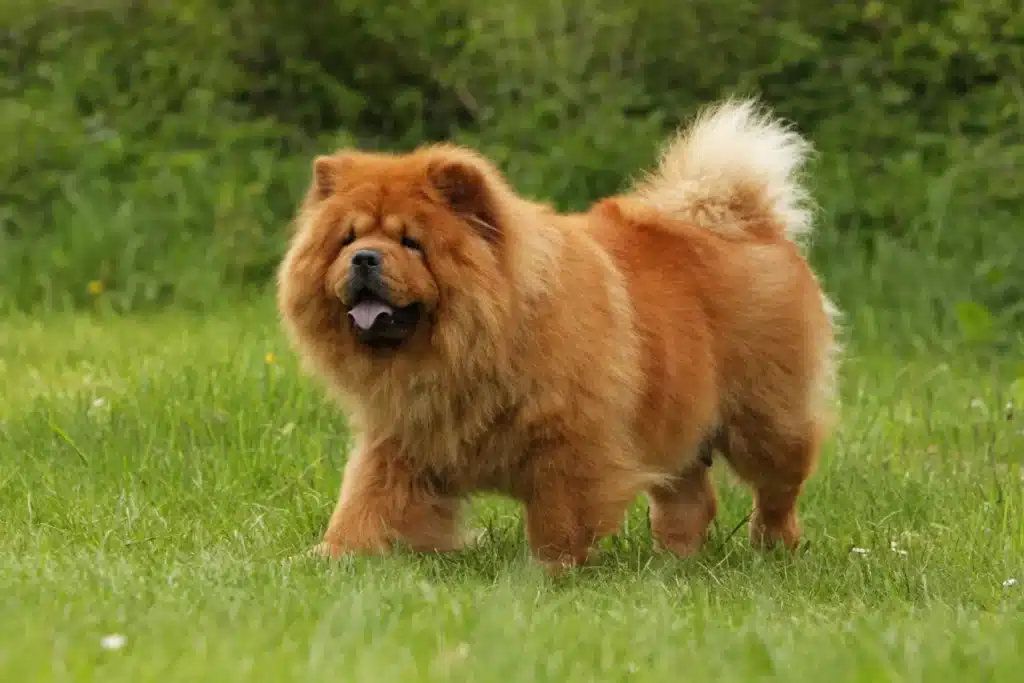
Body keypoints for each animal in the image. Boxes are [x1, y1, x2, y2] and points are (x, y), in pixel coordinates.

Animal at [278, 100, 839, 573]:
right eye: (347, 239)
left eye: (411, 243)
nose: (364, 258)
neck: (462, 353)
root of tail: (751, 222)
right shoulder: (400, 437)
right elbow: (366, 501)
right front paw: (328, 558)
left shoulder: (568, 439)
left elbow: (557, 515)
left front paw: (549, 572)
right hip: (677, 421)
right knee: (690, 500)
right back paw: (672, 563)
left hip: (765, 423)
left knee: (778, 490)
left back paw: (774, 548)